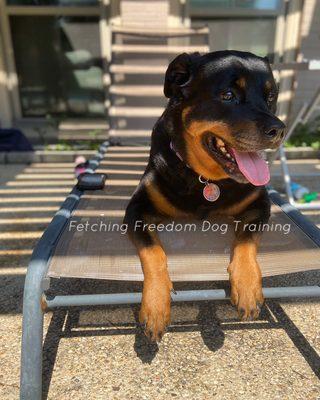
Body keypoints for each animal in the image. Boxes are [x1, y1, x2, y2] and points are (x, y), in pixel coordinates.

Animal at [124, 50, 286, 342]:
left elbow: (247, 240)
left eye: (270, 97)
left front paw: (247, 286)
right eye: (228, 95)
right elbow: (153, 251)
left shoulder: (260, 204)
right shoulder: (136, 209)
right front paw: (155, 305)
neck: (205, 179)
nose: (279, 130)